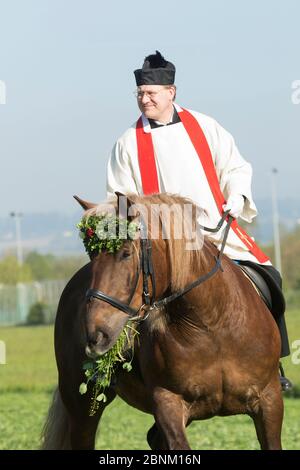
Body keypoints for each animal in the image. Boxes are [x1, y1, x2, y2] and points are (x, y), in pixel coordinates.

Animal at [42, 193, 284, 450]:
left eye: (126, 252)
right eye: (92, 255)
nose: (95, 334)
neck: (211, 324)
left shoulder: (270, 400)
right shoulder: (167, 402)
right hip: (80, 406)